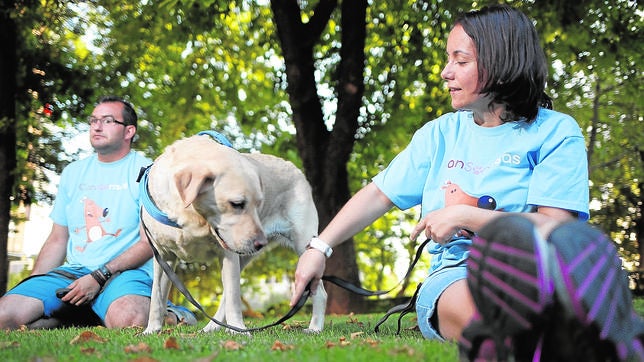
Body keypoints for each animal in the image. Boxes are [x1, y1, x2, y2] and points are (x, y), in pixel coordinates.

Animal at [138, 132, 324, 334]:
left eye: (259, 204)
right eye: (237, 204)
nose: (261, 243)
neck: (191, 218)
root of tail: (296, 169)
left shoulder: (228, 254)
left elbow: (234, 298)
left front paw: (237, 329)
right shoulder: (164, 257)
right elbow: (157, 297)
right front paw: (152, 329)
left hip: (303, 245)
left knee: (320, 292)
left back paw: (315, 328)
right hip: (244, 256)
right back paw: (211, 327)